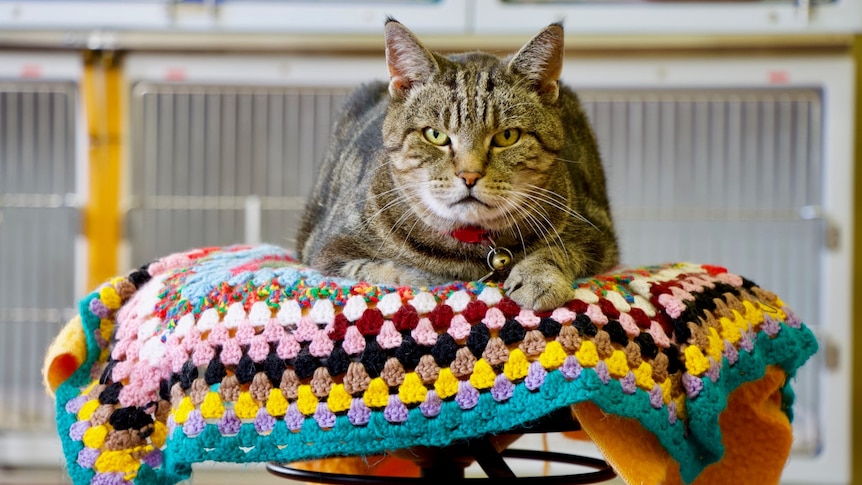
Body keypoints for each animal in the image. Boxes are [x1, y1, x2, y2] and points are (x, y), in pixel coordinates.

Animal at [298, 18, 620, 310]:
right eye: (435, 135)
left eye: (507, 136)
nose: (469, 175)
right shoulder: (328, 251)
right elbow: (391, 272)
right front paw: (429, 277)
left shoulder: (599, 239)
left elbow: (557, 250)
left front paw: (538, 278)